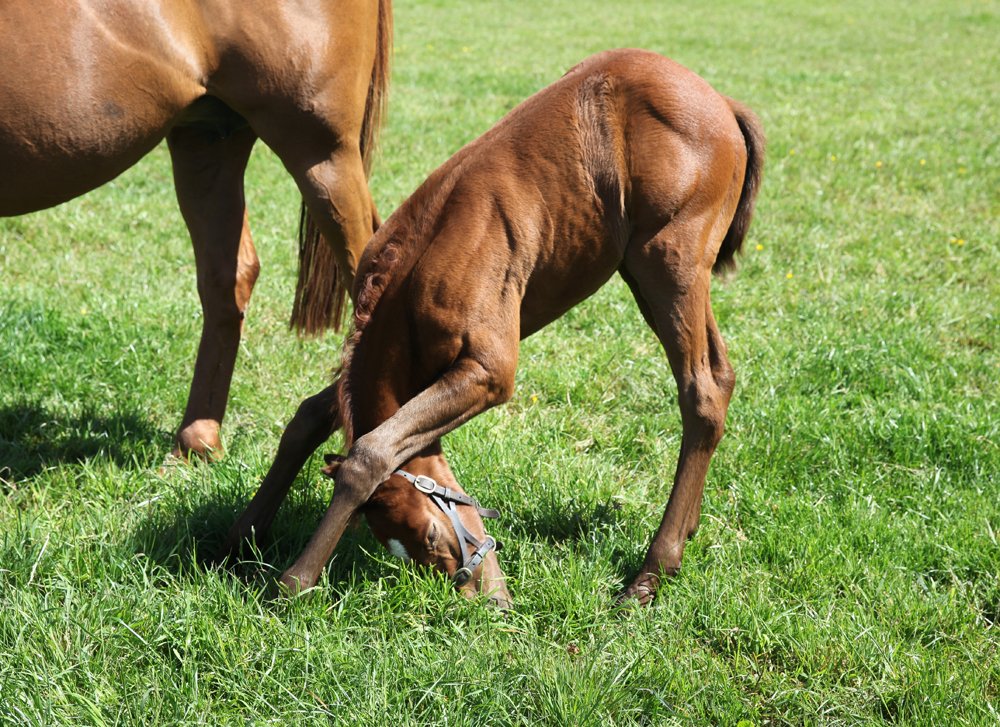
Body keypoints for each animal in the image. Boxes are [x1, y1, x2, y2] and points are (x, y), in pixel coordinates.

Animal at [220, 49, 765, 607]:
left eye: (429, 536)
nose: (489, 599)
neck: (418, 267)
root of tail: (724, 103)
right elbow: (309, 416)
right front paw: (238, 538)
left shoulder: (487, 371)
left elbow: (371, 453)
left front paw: (293, 582)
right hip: (645, 273)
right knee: (721, 378)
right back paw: (686, 531)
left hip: (669, 263)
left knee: (701, 391)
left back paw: (651, 571)